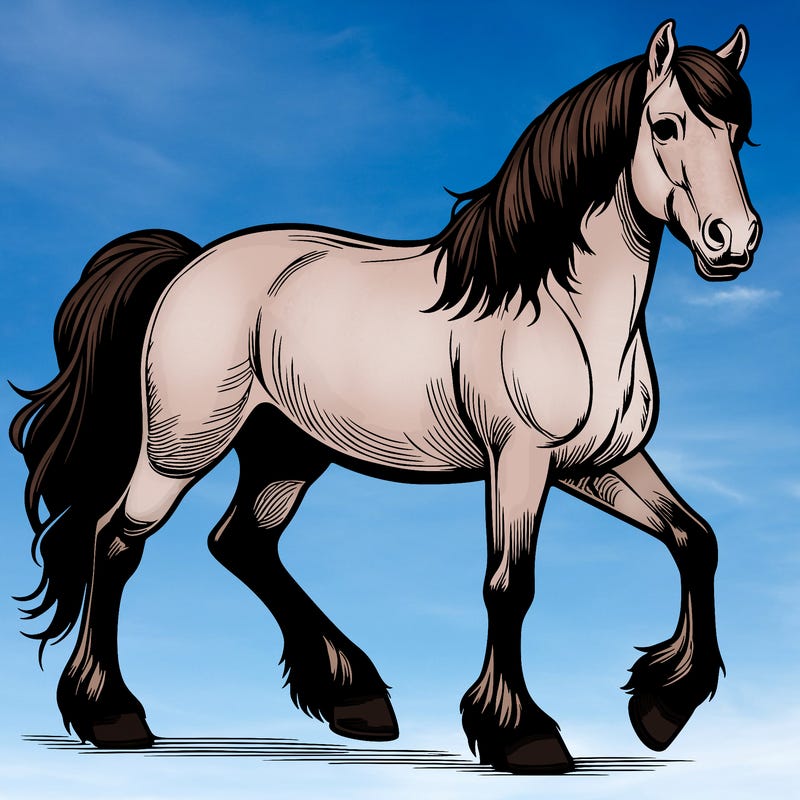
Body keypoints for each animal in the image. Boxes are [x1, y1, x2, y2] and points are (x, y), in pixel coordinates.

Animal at [10, 20, 760, 773]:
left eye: (739, 132)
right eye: (665, 126)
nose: (734, 240)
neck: (559, 308)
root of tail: (189, 264)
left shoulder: (598, 463)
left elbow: (696, 539)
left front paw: (661, 709)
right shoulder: (520, 460)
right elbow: (509, 585)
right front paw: (523, 735)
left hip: (287, 450)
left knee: (242, 542)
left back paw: (355, 699)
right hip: (182, 446)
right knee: (115, 541)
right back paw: (112, 716)